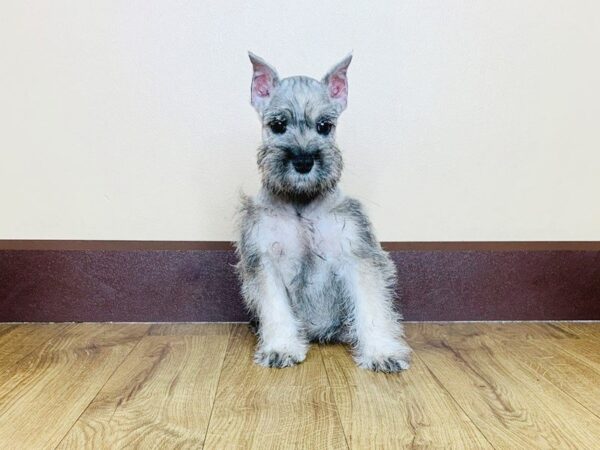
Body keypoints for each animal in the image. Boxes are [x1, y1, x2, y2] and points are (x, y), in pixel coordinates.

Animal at [236, 51, 412, 372]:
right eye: (278, 125)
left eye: (324, 126)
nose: (304, 161)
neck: (301, 203)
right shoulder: (265, 260)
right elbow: (276, 307)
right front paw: (281, 347)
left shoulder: (357, 255)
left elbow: (371, 306)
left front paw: (381, 352)